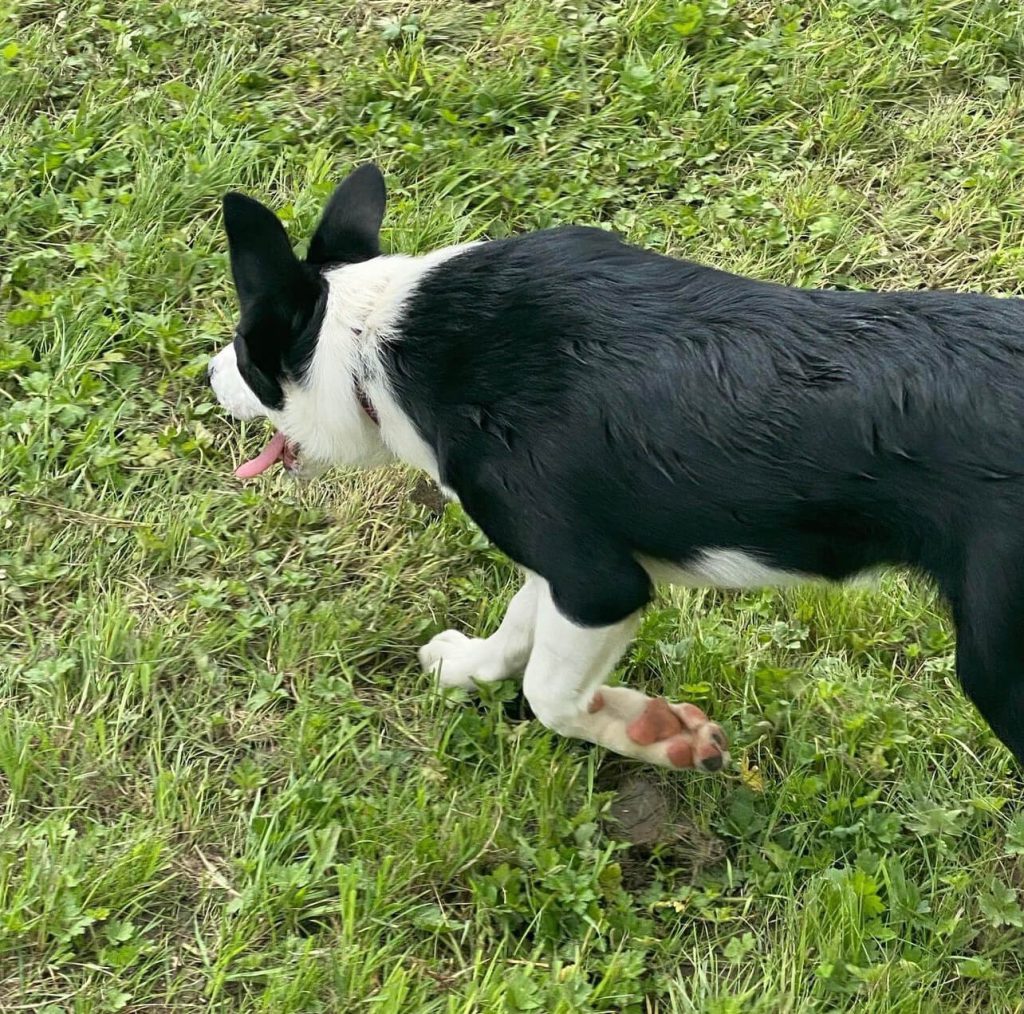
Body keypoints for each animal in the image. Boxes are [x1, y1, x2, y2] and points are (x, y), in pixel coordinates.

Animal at [207, 164, 1024, 770]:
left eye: (246, 351)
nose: (207, 372)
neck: (375, 341)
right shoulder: (559, 567)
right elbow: (517, 629)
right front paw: (466, 667)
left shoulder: (597, 582)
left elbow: (550, 692)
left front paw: (654, 732)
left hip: (997, 664)